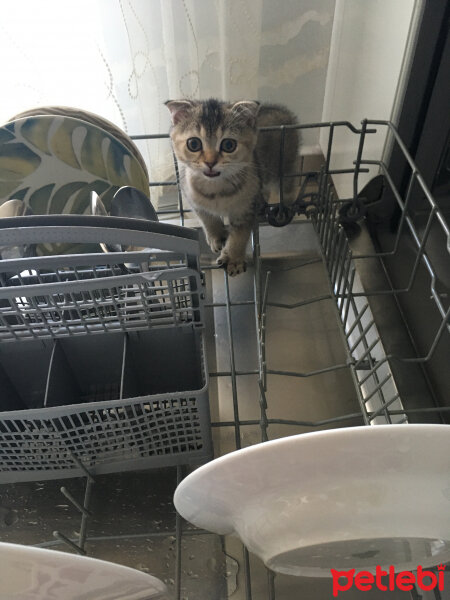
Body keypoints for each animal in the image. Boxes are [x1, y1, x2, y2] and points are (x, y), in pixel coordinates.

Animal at [165, 99, 298, 276]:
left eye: (229, 145)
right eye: (193, 143)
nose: (210, 162)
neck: (216, 191)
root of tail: (282, 110)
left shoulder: (246, 208)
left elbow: (240, 234)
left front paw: (234, 259)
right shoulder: (193, 200)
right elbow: (207, 218)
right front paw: (216, 236)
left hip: (284, 168)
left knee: (288, 187)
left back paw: (285, 208)